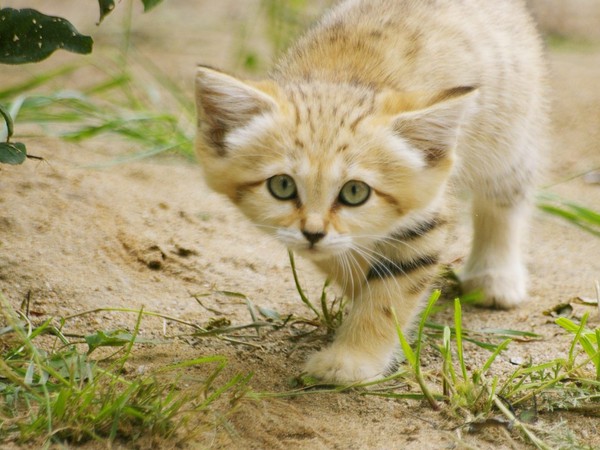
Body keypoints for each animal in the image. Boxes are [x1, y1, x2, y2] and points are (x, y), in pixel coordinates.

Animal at [195, 0, 548, 384]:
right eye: (282, 186)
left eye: (354, 192)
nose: (312, 233)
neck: (340, 78)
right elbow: (346, 261)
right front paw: (354, 284)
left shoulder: (424, 217)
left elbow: (387, 297)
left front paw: (351, 360)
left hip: (508, 136)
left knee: (506, 199)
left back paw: (495, 276)